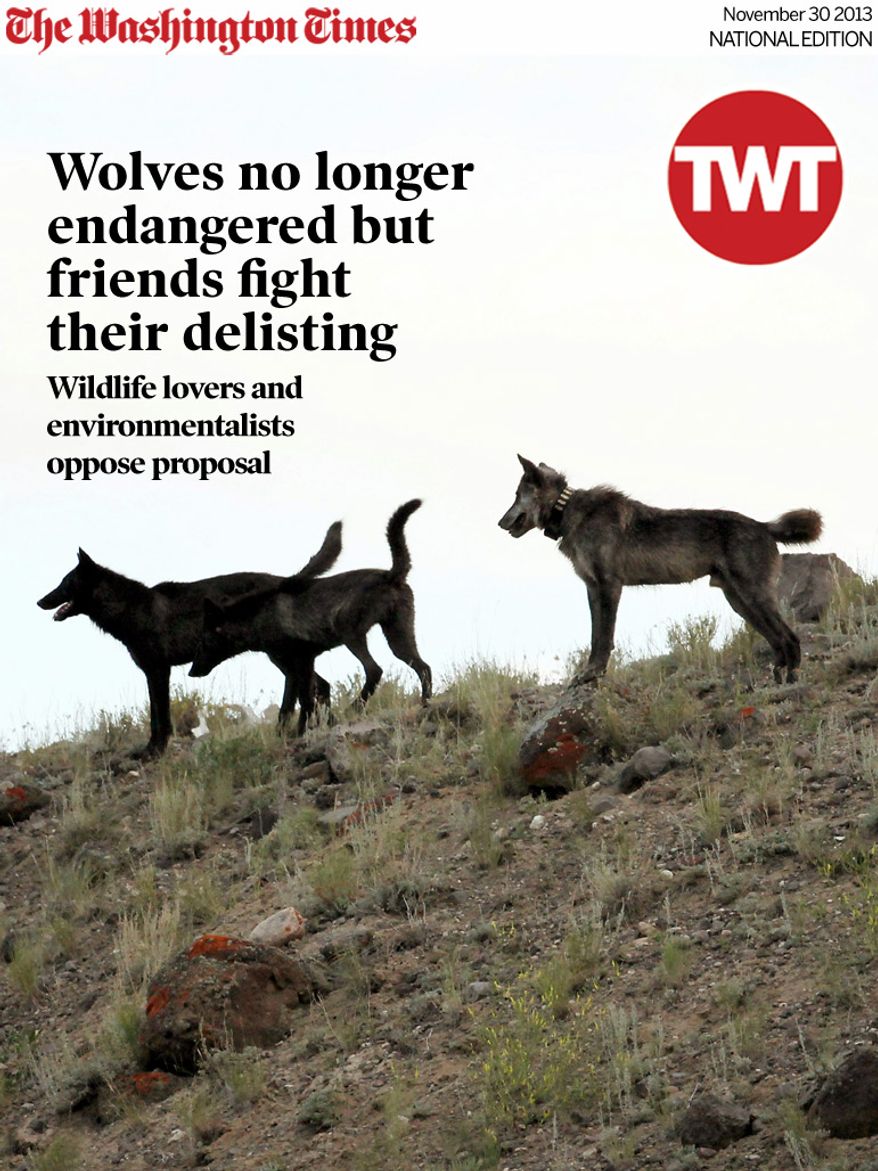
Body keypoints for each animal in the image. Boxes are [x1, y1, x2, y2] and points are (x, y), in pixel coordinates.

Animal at [37, 523, 342, 757]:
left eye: (65, 582)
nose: (39, 601)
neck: (130, 610)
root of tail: (284, 579)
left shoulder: (158, 671)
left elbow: (160, 717)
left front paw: (155, 751)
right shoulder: (153, 671)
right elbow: (157, 714)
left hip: (279, 655)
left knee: (307, 685)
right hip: (279, 656)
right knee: (317, 685)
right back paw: (315, 725)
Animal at [189, 499, 432, 733]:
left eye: (203, 642)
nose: (191, 672)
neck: (259, 617)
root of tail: (390, 575)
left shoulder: (302, 661)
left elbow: (304, 701)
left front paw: (300, 731)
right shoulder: (292, 669)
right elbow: (288, 706)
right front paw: (287, 733)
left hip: (351, 636)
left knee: (375, 670)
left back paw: (355, 707)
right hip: (398, 640)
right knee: (424, 668)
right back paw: (425, 704)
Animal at [499, 456, 822, 684]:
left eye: (515, 495)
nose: (500, 523)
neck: (568, 511)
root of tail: (764, 526)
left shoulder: (609, 586)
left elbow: (604, 637)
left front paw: (594, 673)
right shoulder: (592, 589)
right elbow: (594, 636)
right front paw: (589, 672)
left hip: (753, 598)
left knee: (790, 638)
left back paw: (792, 679)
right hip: (740, 602)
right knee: (777, 641)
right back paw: (778, 679)